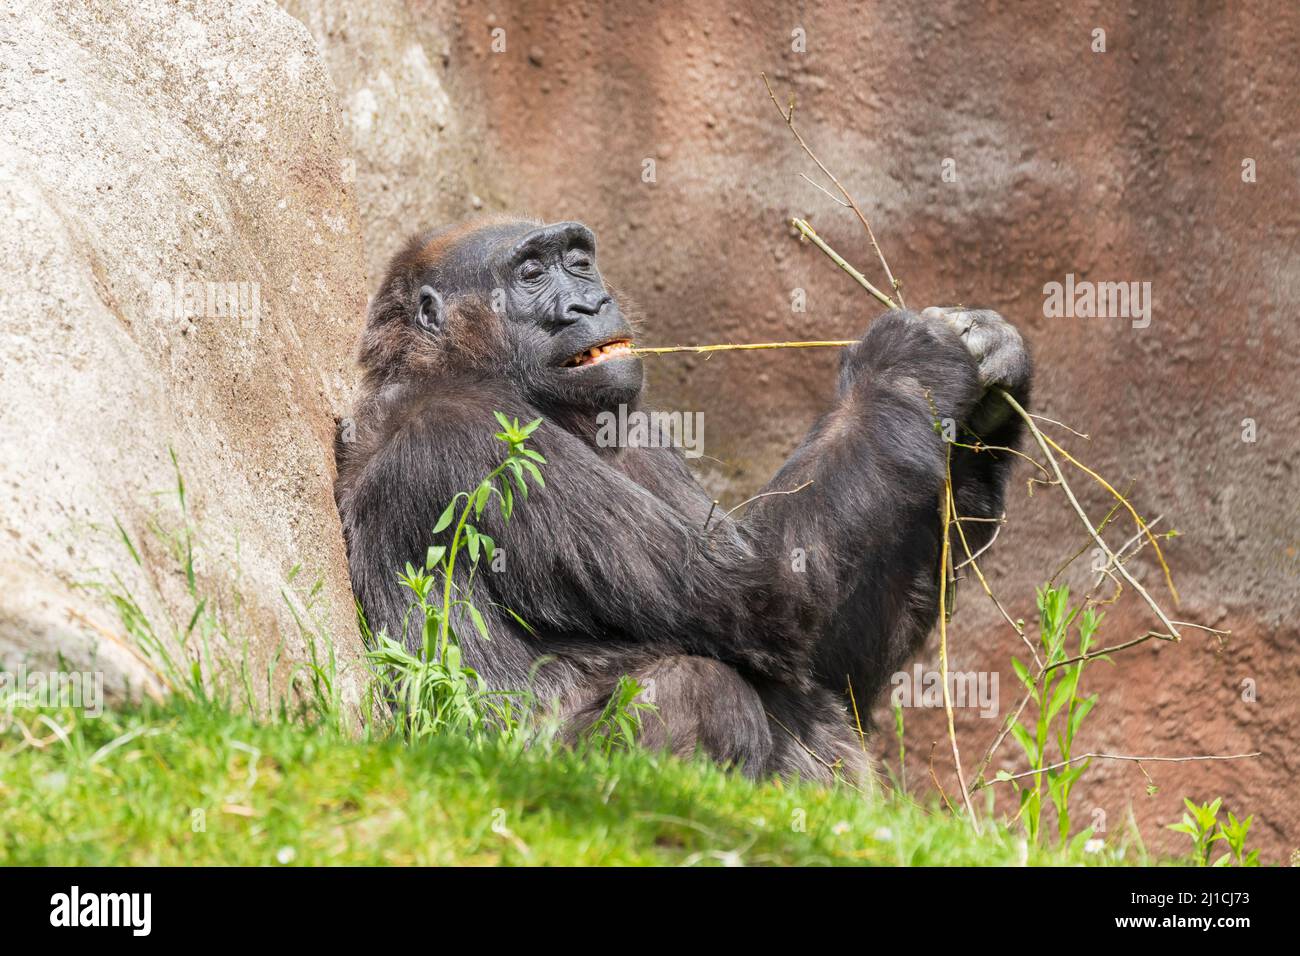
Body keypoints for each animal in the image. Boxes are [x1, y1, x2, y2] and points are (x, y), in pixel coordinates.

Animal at [338, 217, 1034, 785]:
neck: (454, 366)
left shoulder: (637, 424)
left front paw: (990, 395)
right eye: (531, 274)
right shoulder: (473, 440)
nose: (591, 301)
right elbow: (762, 592)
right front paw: (904, 366)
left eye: (578, 261)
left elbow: (832, 657)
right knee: (697, 688)